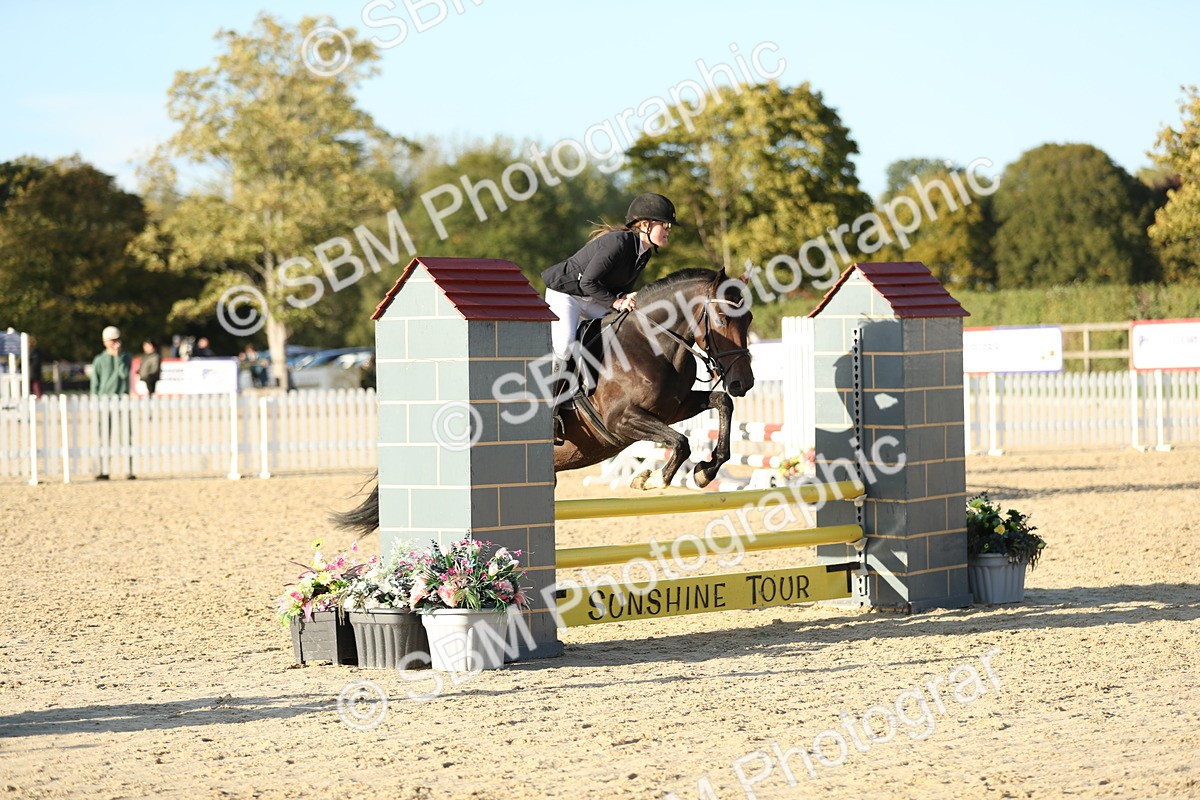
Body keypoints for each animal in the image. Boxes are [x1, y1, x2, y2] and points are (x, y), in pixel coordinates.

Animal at [333, 267, 756, 534]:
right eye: (722, 319)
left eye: (748, 319)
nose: (744, 382)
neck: (651, 341)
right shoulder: (622, 420)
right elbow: (680, 441)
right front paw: (650, 480)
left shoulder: (673, 408)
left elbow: (721, 405)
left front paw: (706, 470)